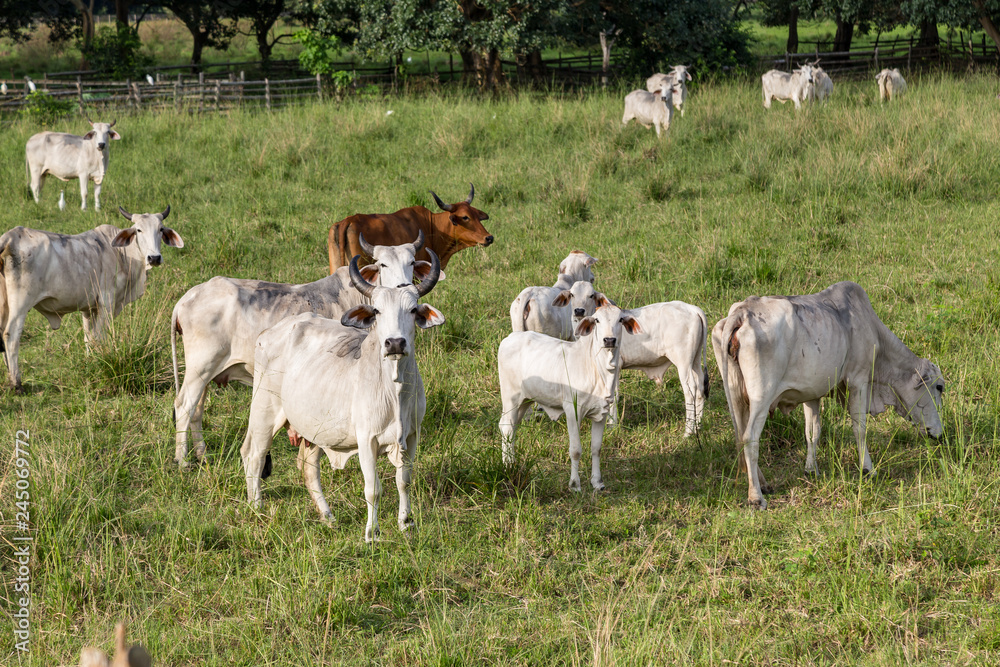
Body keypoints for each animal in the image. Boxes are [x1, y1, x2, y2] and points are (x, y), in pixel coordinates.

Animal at [0, 206, 181, 392]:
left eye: (161, 229)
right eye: (138, 229)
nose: (154, 258)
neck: (121, 253)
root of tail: (9, 237)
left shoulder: (88, 309)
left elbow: (89, 339)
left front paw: (91, 363)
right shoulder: (106, 303)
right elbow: (100, 337)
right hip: (20, 304)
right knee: (11, 335)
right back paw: (16, 383)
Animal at [171, 233, 429, 467]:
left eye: (412, 262)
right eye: (383, 264)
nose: (403, 288)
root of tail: (187, 297)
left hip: (208, 373)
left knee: (196, 411)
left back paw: (202, 455)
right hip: (200, 368)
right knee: (184, 406)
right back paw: (183, 460)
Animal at [241, 253, 444, 542]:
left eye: (414, 310)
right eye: (377, 311)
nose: (395, 343)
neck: (394, 389)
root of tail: (272, 332)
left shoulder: (412, 435)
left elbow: (403, 482)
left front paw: (406, 524)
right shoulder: (367, 439)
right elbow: (373, 488)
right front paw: (372, 533)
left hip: (312, 430)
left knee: (307, 468)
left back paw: (327, 516)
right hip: (264, 412)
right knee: (254, 455)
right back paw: (256, 506)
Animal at [498, 304, 641, 492]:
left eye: (621, 319)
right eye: (597, 320)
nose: (609, 340)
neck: (597, 369)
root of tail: (510, 338)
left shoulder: (601, 412)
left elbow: (596, 448)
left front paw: (597, 482)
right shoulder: (573, 411)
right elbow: (575, 450)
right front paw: (574, 484)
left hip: (525, 400)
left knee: (512, 428)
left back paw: (510, 463)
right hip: (511, 398)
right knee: (507, 427)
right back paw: (507, 466)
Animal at [711, 281, 945, 510]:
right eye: (939, 387)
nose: (939, 435)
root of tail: (742, 312)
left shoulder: (811, 393)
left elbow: (812, 432)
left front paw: (811, 469)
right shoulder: (858, 380)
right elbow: (860, 429)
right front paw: (868, 469)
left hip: (735, 395)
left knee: (740, 436)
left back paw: (764, 484)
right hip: (761, 396)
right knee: (750, 438)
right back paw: (756, 497)